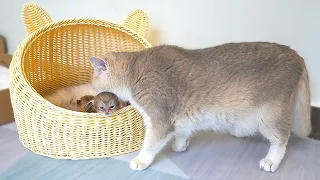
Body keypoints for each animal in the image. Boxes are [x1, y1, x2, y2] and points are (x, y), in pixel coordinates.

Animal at [89, 42, 312, 173]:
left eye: (94, 79)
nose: (91, 87)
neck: (136, 70)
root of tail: (296, 55)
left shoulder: (159, 120)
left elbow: (150, 144)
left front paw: (141, 160)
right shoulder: (178, 117)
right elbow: (182, 131)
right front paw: (181, 145)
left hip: (269, 115)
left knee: (282, 138)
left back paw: (271, 160)